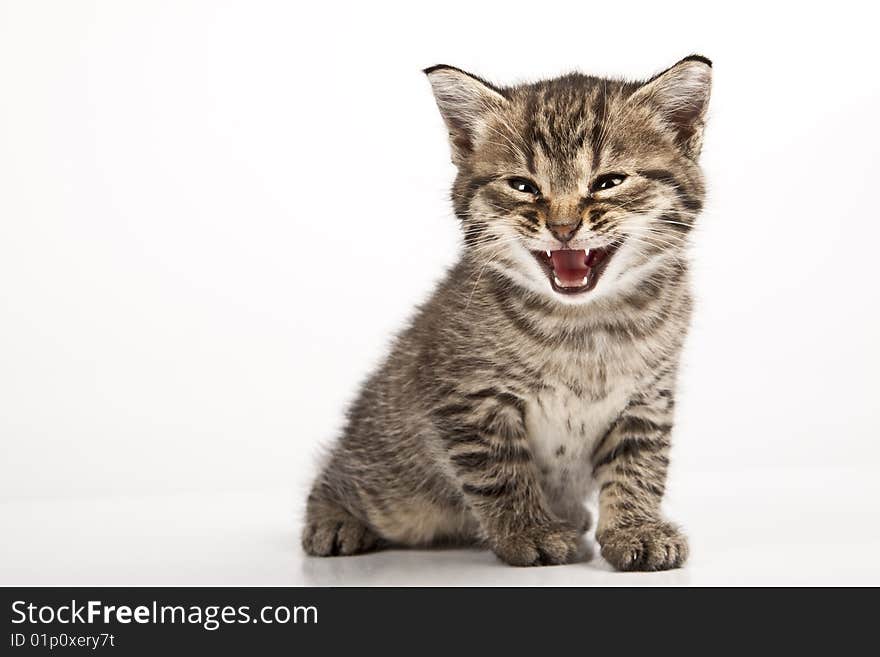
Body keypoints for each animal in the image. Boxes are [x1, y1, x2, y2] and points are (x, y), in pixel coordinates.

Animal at [300, 56, 708, 568]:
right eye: (523, 186)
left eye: (609, 182)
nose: (563, 227)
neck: (584, 324)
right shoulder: (470, 398)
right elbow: (501, 472)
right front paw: (528, 531)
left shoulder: (648, 397)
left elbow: (639, 467)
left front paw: (635, 528)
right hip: (392, 481)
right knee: (341, 477)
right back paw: (334, 519)